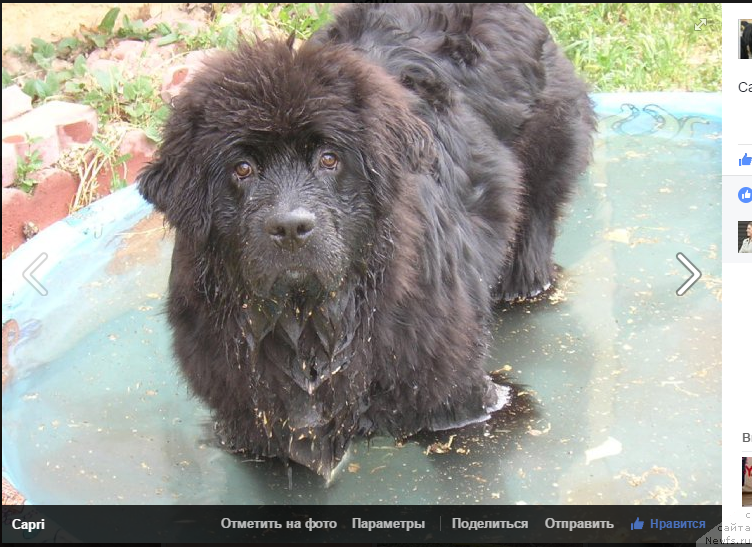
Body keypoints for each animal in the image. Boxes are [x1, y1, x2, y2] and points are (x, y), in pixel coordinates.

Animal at [138, 4, 596, 482]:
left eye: (329, 159)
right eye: (242, 169)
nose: (290, 227)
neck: (310, 321)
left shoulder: (456, 397)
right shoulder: (251, 420)